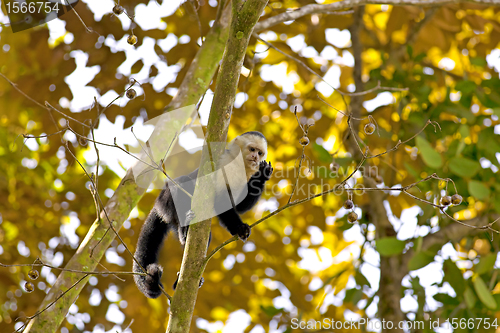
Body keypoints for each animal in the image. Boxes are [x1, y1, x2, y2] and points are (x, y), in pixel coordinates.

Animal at [134, 131, 274, 296]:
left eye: (260, 153)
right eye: (252, 149)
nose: (255, 157)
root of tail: (157, 205)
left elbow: (239, 206)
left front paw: (263, 175)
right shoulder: (225, 165)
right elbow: (222, 202)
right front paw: (239, 228)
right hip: (166, 203)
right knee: (181, 183)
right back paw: (184, 229)